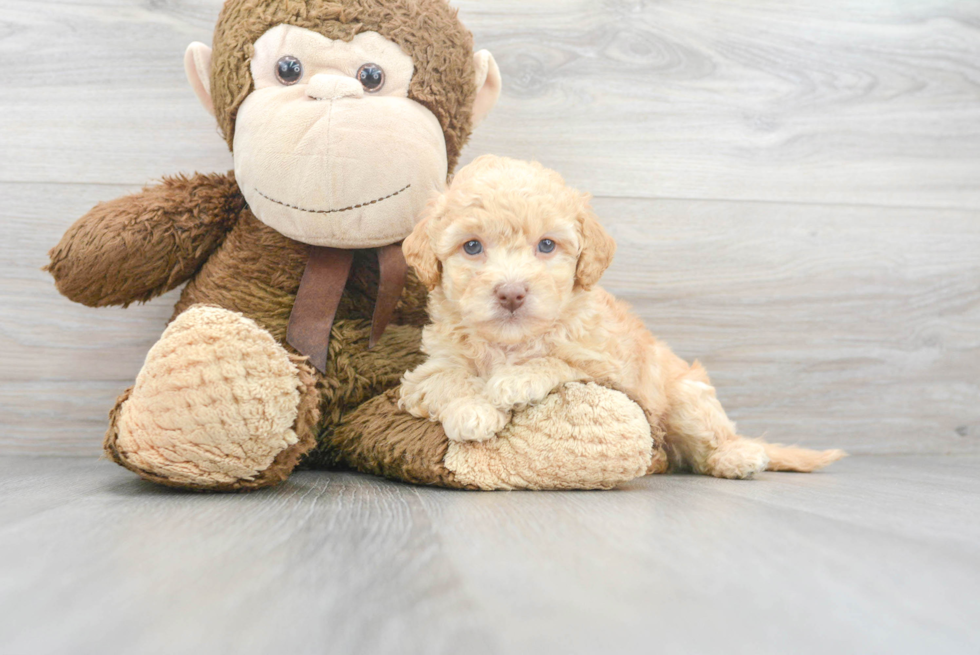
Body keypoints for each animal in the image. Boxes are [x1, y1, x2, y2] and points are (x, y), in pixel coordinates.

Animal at [398, 156, 844, 480]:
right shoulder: (425, 372)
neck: (510, 341)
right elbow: (446, 379)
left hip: (686, 398)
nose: (511, 292)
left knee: (710, 442)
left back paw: (737, 457)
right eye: (472, 246)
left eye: (547, 245)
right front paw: (472, 410)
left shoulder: (609, 371)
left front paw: (517, 379)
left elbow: (558, 362)